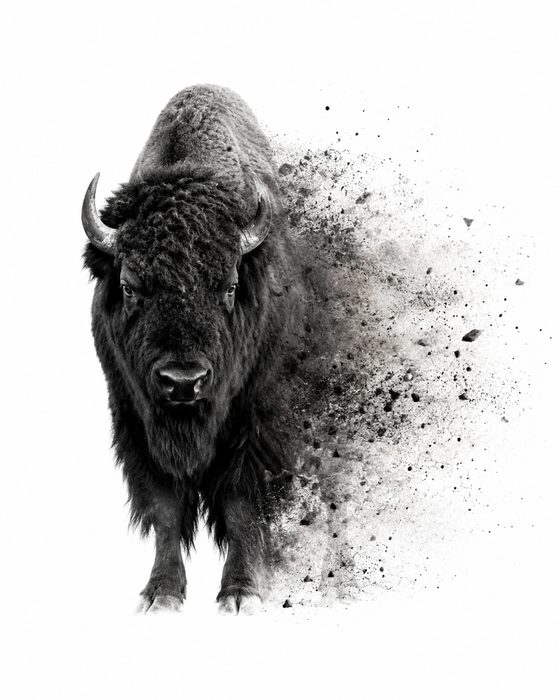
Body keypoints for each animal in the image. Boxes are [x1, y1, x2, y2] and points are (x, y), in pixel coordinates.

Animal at [82, 85, 299, 614]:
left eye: (229, 286)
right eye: (129, 285)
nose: (183, 382)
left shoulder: (253, 421)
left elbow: (242, 504)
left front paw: (240, 595)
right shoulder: (134, 419)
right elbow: (164, 509)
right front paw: (161, 595)